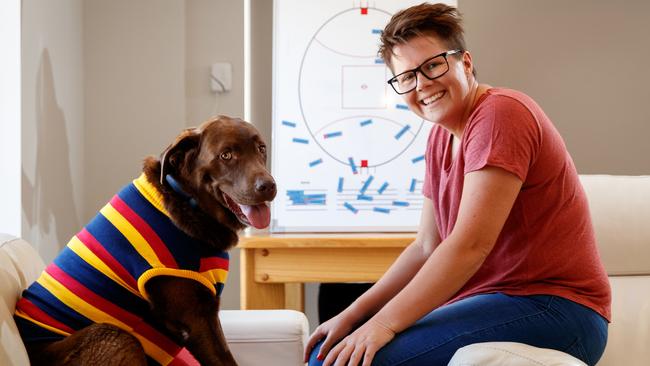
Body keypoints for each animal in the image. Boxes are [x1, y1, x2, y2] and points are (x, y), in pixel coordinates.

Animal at [15, 116, 274, 364]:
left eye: (261, 149)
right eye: (226, 155)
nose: (269, 186)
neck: (185, 199)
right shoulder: (197, 319)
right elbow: (224, 359)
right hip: (114, 335)